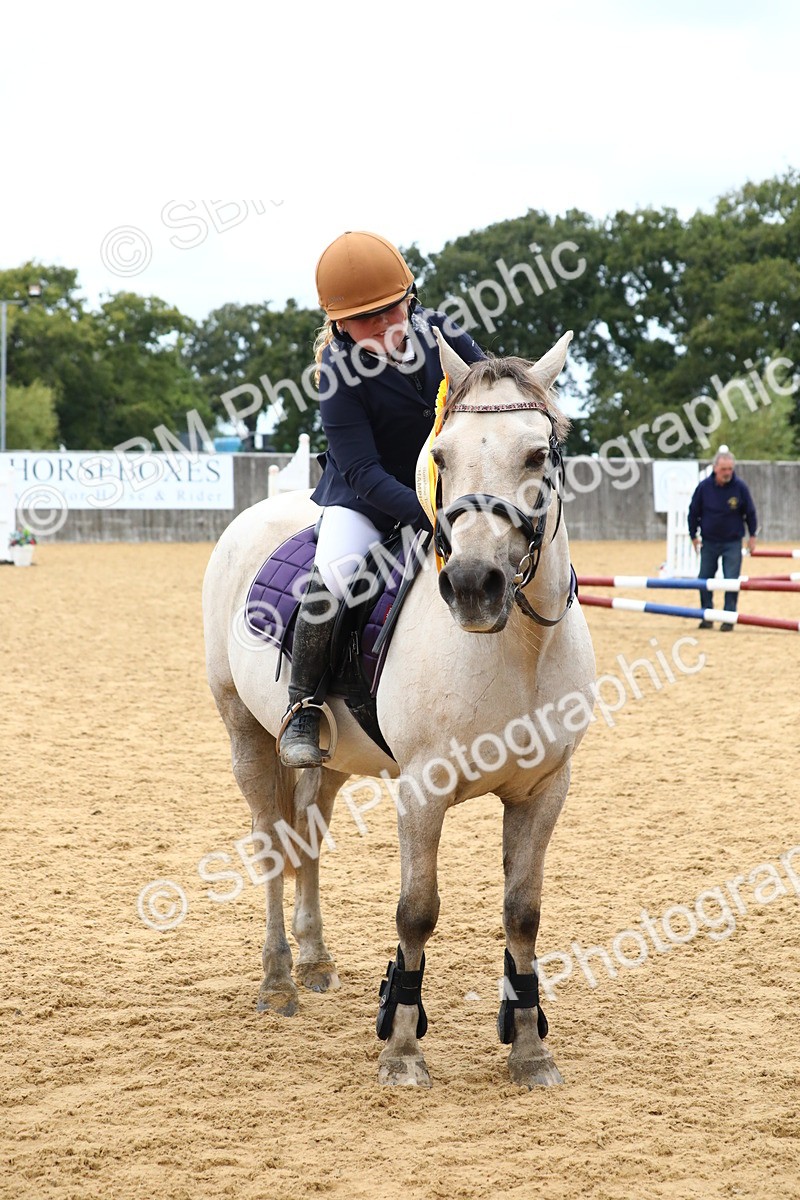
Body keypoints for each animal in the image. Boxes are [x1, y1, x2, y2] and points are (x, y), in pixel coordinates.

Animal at [202, 329, 596, 1088]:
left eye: (538, 454)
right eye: (441, 456)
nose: (473, 586)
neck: (518, 646)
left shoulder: (544, 789)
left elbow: (523, 913)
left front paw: (529, 1050)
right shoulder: (422, 789)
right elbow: (417, 912)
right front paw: (402, 1048)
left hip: (330, 760)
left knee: (307, 836)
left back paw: (316, 961)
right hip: (244, 734)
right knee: (270, 844)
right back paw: (278, 981)